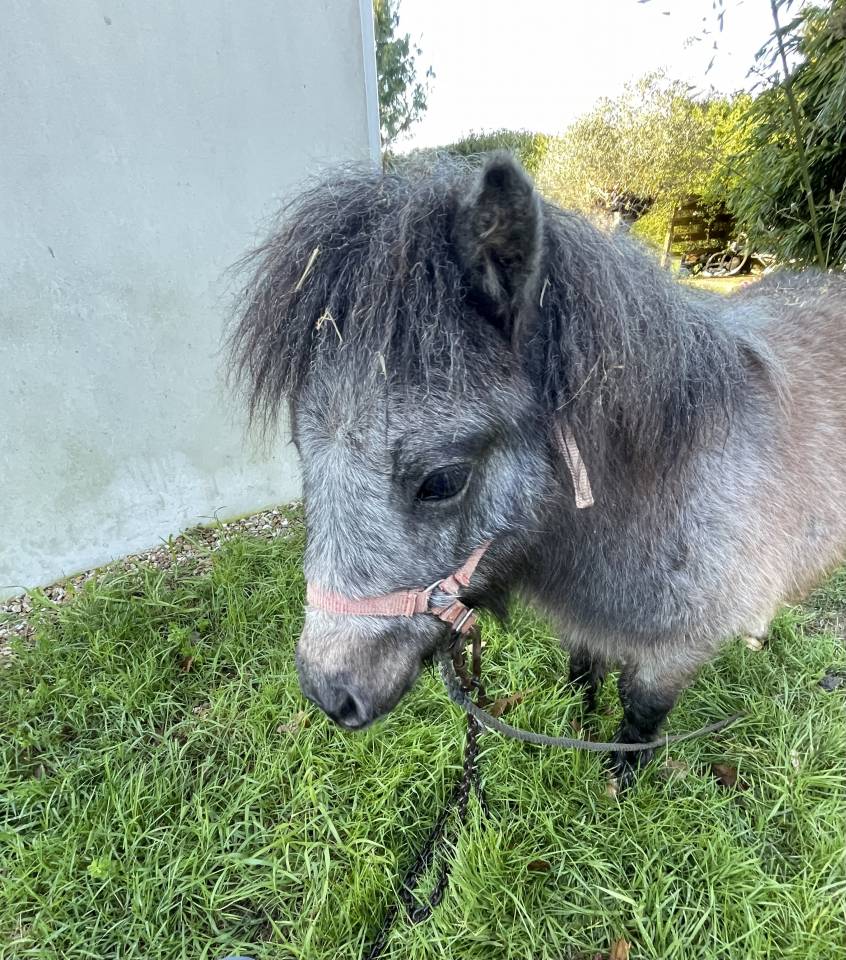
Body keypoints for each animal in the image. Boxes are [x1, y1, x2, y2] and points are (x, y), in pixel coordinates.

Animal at [229, 153, 846, 785]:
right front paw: (578, 727)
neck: (668, 482)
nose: (331, 694)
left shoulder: (681, 647)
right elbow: (583, 674)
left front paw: (620, 778)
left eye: (443, 480)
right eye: (301, 451)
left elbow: (642, 708)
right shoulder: (587, 624)